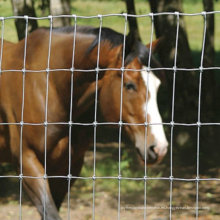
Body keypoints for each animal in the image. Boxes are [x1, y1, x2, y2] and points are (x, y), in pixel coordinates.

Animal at [0, 24, 168, 219]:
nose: (159, 148)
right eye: (130, 85)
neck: (48, 85)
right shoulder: (27, 162)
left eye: (157, 86)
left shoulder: (68, 167)